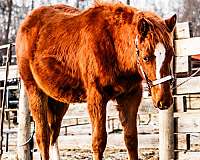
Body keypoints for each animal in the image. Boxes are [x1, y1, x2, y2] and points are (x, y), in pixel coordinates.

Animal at [16, 2, 176, 160]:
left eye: (171, 54)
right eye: (146, 57)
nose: (164, 100)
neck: (113, 45)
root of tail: (26, 24)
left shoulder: (130, 96)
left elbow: (131, 139)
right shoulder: (97, 98)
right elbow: (99, 141)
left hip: (58, 99)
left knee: (53, 134)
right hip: (35, 91)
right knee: (42, 136)